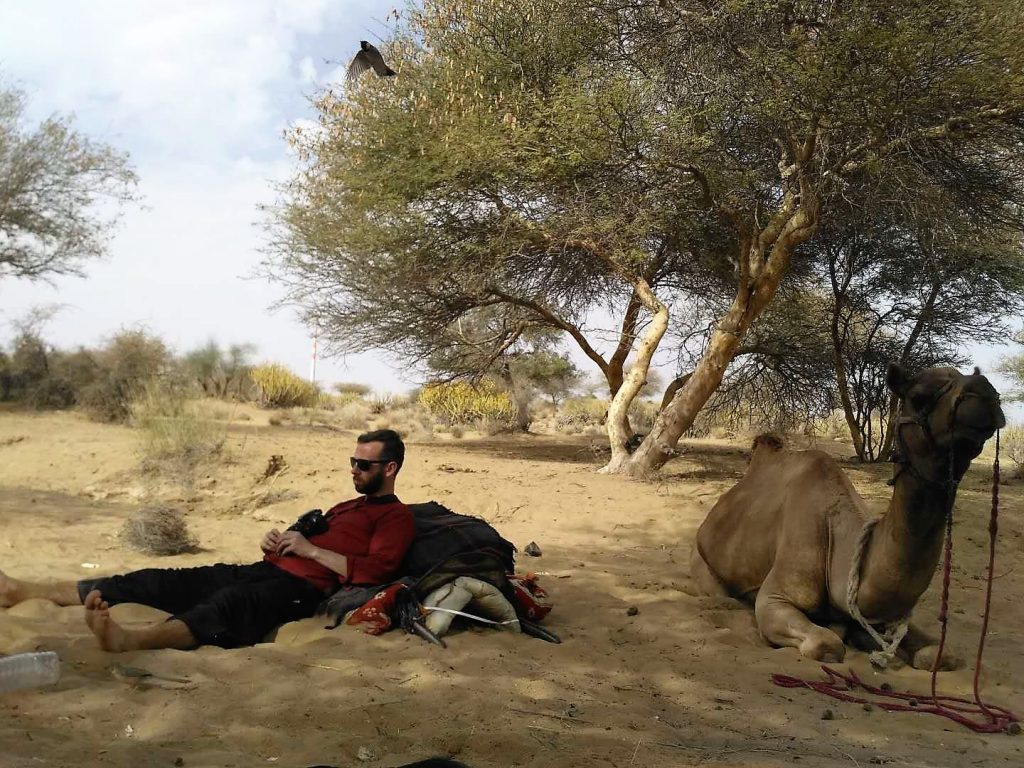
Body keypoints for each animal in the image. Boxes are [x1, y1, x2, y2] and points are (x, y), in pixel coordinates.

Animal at [692, 364, 1003, 671]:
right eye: (918, 397)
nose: (984, 393)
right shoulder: (775, 596)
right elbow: (826, 644)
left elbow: (939, 654)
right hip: (704, 559)